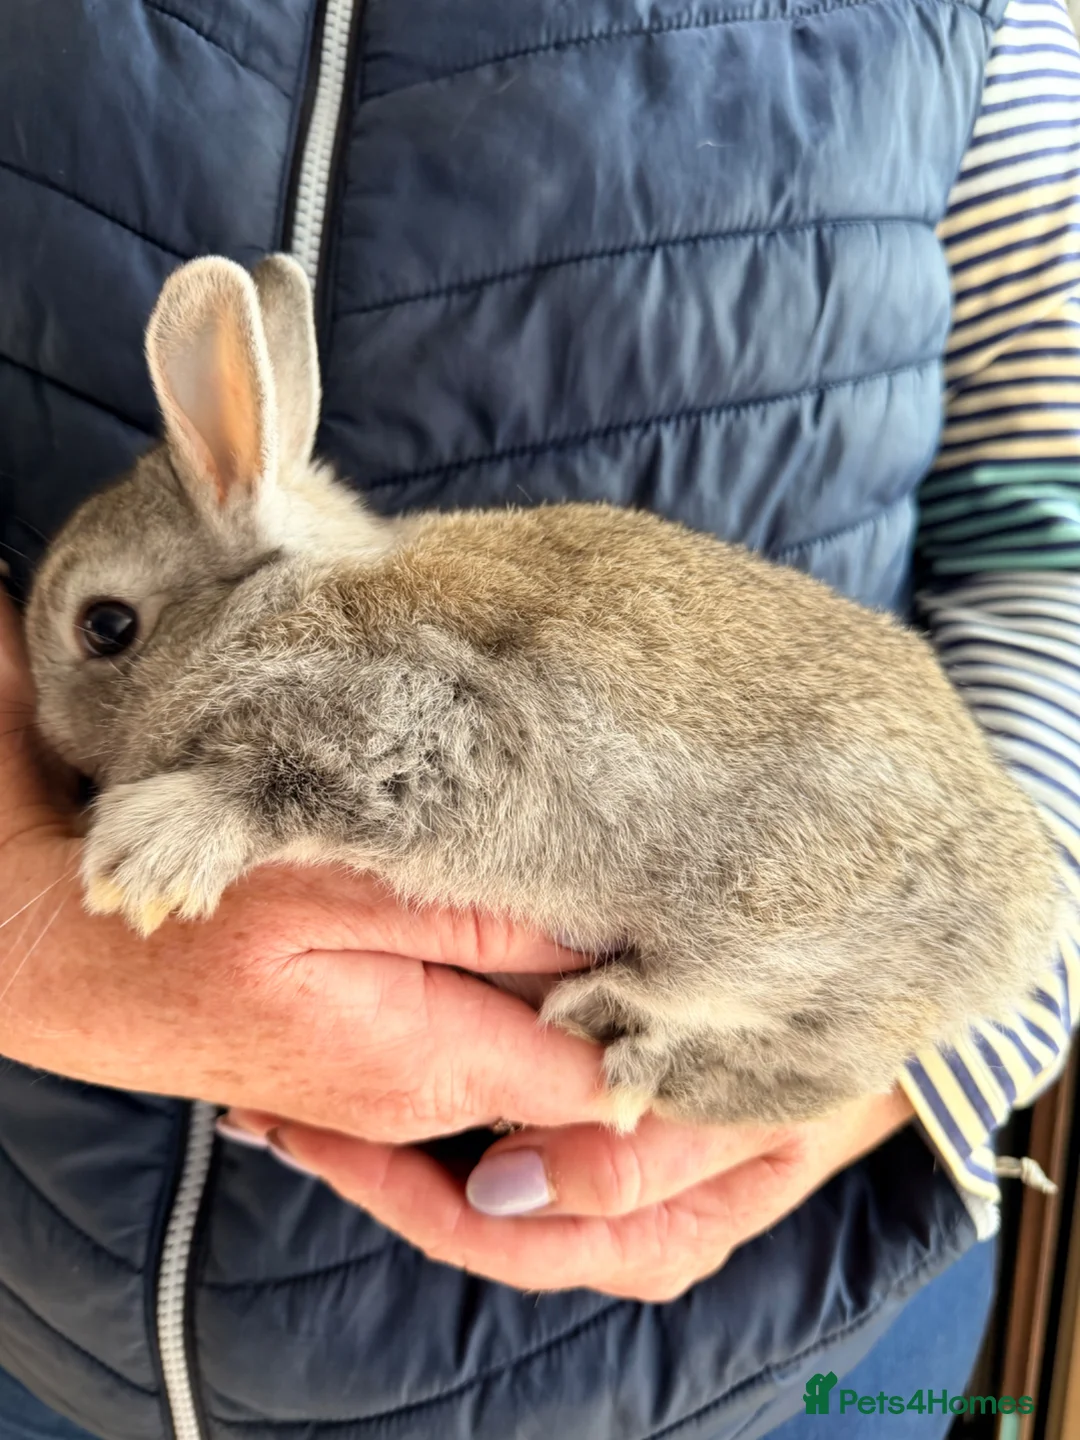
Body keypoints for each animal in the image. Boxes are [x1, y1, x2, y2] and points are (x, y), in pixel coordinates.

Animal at [24, 253, 1065, 1131]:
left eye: (105, 626)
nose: (50, 743)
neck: (281, 593)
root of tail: (1027, 925)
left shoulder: (424, 724)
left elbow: (280, 785)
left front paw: (146, 858)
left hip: (778, 904)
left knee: (743, 1001)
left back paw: (612, 1017)